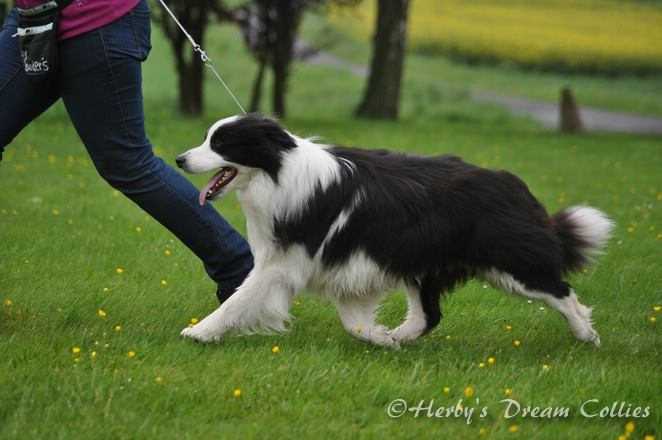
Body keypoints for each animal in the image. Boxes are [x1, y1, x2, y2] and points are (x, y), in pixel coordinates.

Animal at [178, 113, 616, 348]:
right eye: (207, 137)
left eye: (221, 143)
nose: (180, 159)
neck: (278, 170)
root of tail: (514, 185)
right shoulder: (344, 262)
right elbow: (353, 321)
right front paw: (381, 338)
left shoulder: (288, 261)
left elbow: (241, 298)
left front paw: (198, 333)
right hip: (424, 262)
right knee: (429, 314)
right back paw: (402, 337)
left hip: (510, 260)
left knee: (561, 291)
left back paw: (587, 336)